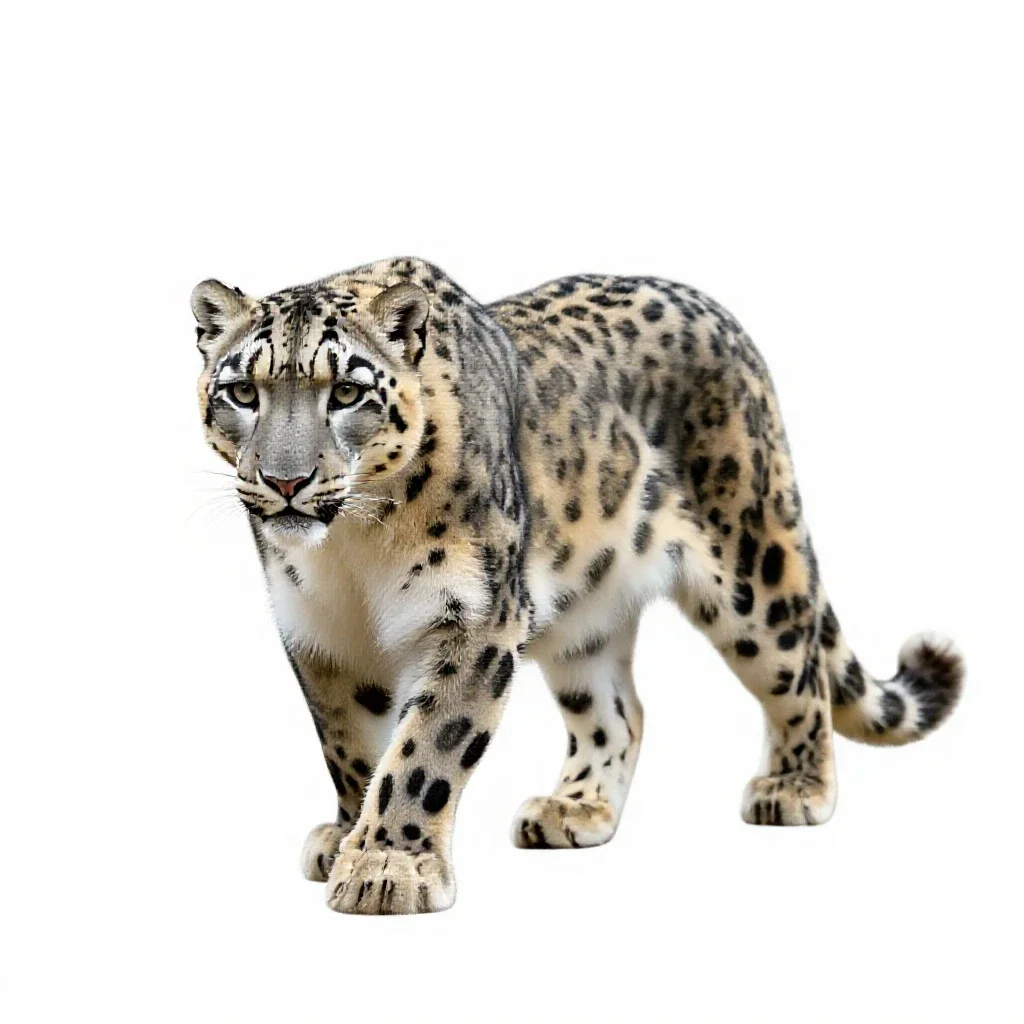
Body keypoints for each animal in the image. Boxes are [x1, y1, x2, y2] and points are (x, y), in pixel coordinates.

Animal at [191, 256, 963, 915]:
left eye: (347, 392)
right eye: (243, 392)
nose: (285, 482)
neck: (353, 550)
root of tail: (719, 313)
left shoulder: (474, 617)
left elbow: (423, 749)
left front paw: (389, 866)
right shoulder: (319, 633)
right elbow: (350, 746)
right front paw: (348, 835)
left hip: (752, 564)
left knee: (798, 667)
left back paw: (793, 788)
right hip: (583, 619)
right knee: (618, 710)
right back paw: (574, 809)